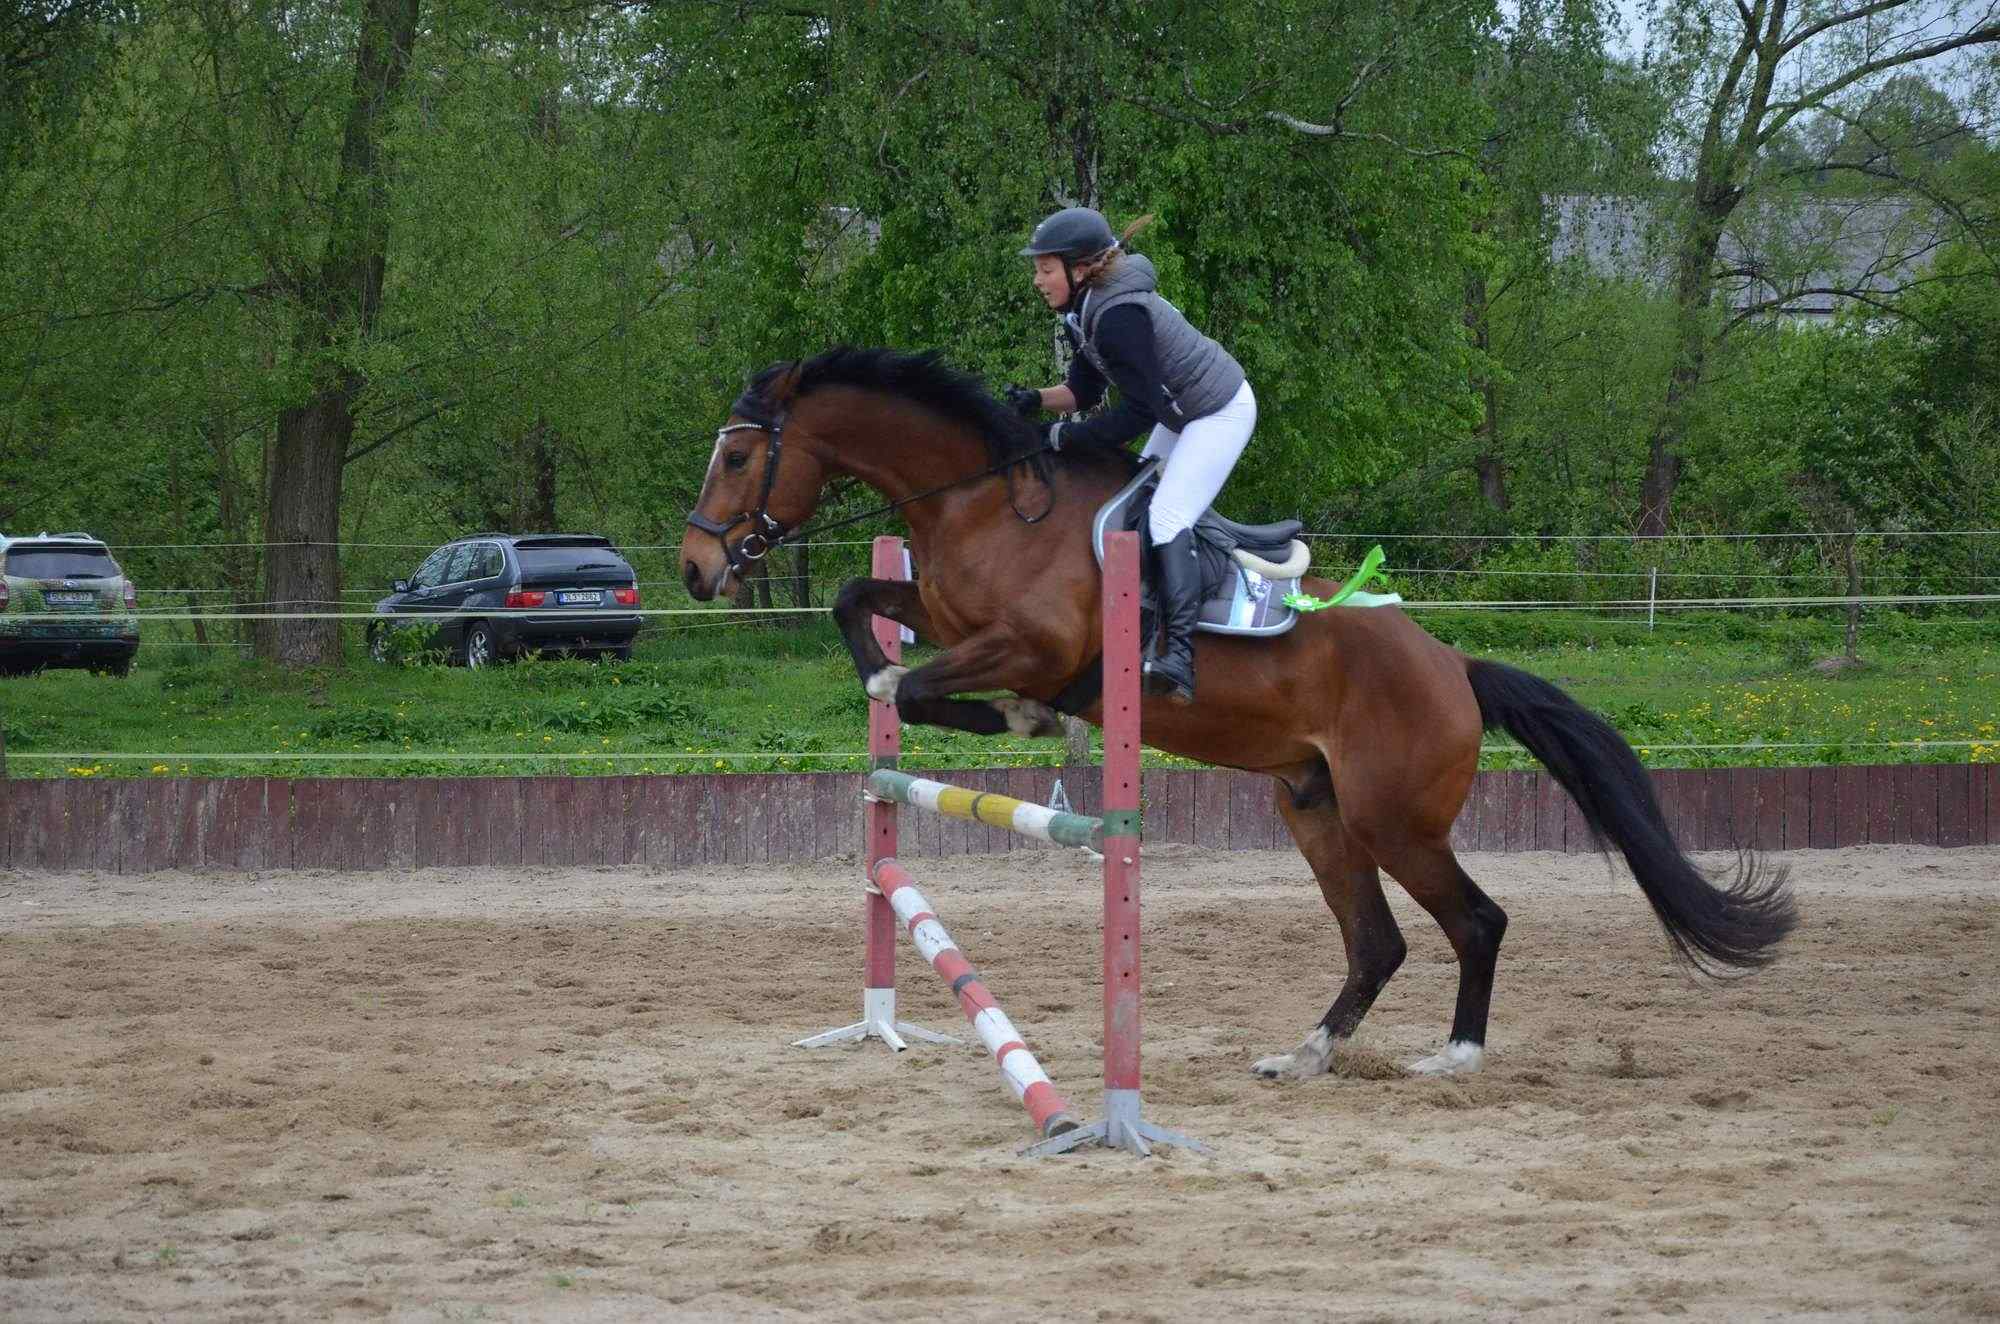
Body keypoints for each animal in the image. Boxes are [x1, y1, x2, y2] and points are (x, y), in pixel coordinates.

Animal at [684, 348, 1800, 1088]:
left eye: (737, 459)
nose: (696, 569)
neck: (984, 501)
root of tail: (1454, 667)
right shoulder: (944, 611)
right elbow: (853, 603)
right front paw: (912, 688)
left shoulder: (1033, 645)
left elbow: (922, 684)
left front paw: (1008, 717)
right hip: (1316, 809)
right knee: (1376, 943)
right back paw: (1303, 1053)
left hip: (1393, 818)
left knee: (1474, 920)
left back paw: (1454, 1055)